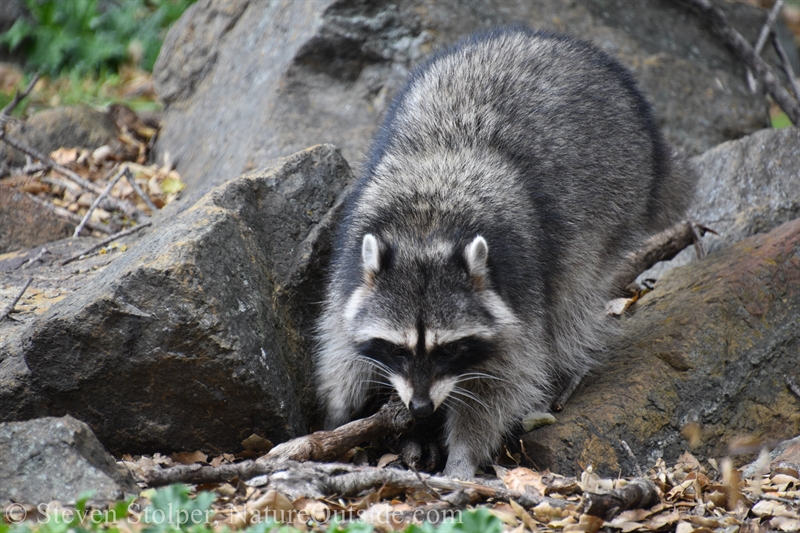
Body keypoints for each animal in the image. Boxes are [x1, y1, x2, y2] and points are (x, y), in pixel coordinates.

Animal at [315, 27, 694, 479]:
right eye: (398, 349)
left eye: (449, 349)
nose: (421, 408)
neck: (428, 228)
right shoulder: (349, 261)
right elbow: (340, 344)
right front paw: (341, 416)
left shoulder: (518, 289)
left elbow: (501, 383)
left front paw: (463, 456)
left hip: (616, 190)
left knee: (572, 293)